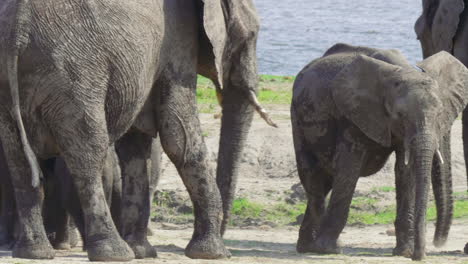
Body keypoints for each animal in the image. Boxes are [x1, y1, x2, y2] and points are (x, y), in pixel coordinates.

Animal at [0, 0, 270, 260]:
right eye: (250, 36)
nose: (227, 242)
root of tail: (17, 28)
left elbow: (136, 144)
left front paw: (143, 252)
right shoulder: (178, 42)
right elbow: (179, 135)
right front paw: (211, 253)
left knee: (18, 161)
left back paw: (34, 252)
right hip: (74, 74)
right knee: (88, 153)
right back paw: (114, 253)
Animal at [290, 43, 468, 260]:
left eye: (440, 113)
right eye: (400, 114)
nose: (421, 255)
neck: (403, 71)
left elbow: (406, 171)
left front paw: (404, 252)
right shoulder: (353, 114)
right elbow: (349, 169)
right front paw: (328, 250)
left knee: (324, 182)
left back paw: (307, 247)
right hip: (298, 119)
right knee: (312, 175)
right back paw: (317, 247)